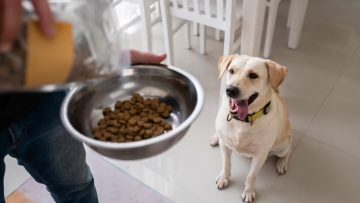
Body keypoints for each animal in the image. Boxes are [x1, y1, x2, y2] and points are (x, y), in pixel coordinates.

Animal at [211, 54, 292, 202]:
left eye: (253, 75)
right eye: (231, 71)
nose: (230, 90)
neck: (242, 121)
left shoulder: (260, 155)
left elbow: (251, 175)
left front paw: (248, 191)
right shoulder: (225, 145)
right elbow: (226, 164)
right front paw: (224, 178)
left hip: (282, 146)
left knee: (288, 151)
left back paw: (282, 163)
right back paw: (215, 137)